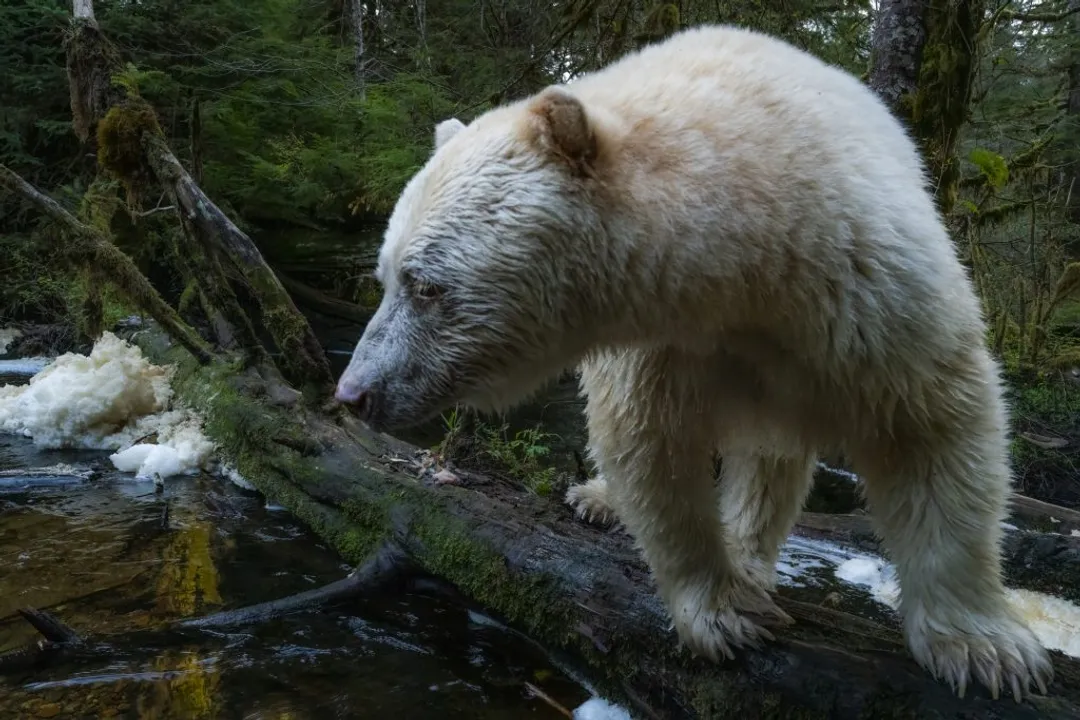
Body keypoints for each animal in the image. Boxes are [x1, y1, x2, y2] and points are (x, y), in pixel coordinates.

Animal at [334, 24, 1054, 702]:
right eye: (383, 277)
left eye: (426, 285)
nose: (355, 392)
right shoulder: (663, 342)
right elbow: (652, 448)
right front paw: (725, 614)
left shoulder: (866, 290)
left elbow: (934, 424)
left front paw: (987, 652)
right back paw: (600, 499)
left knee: (773, 460)